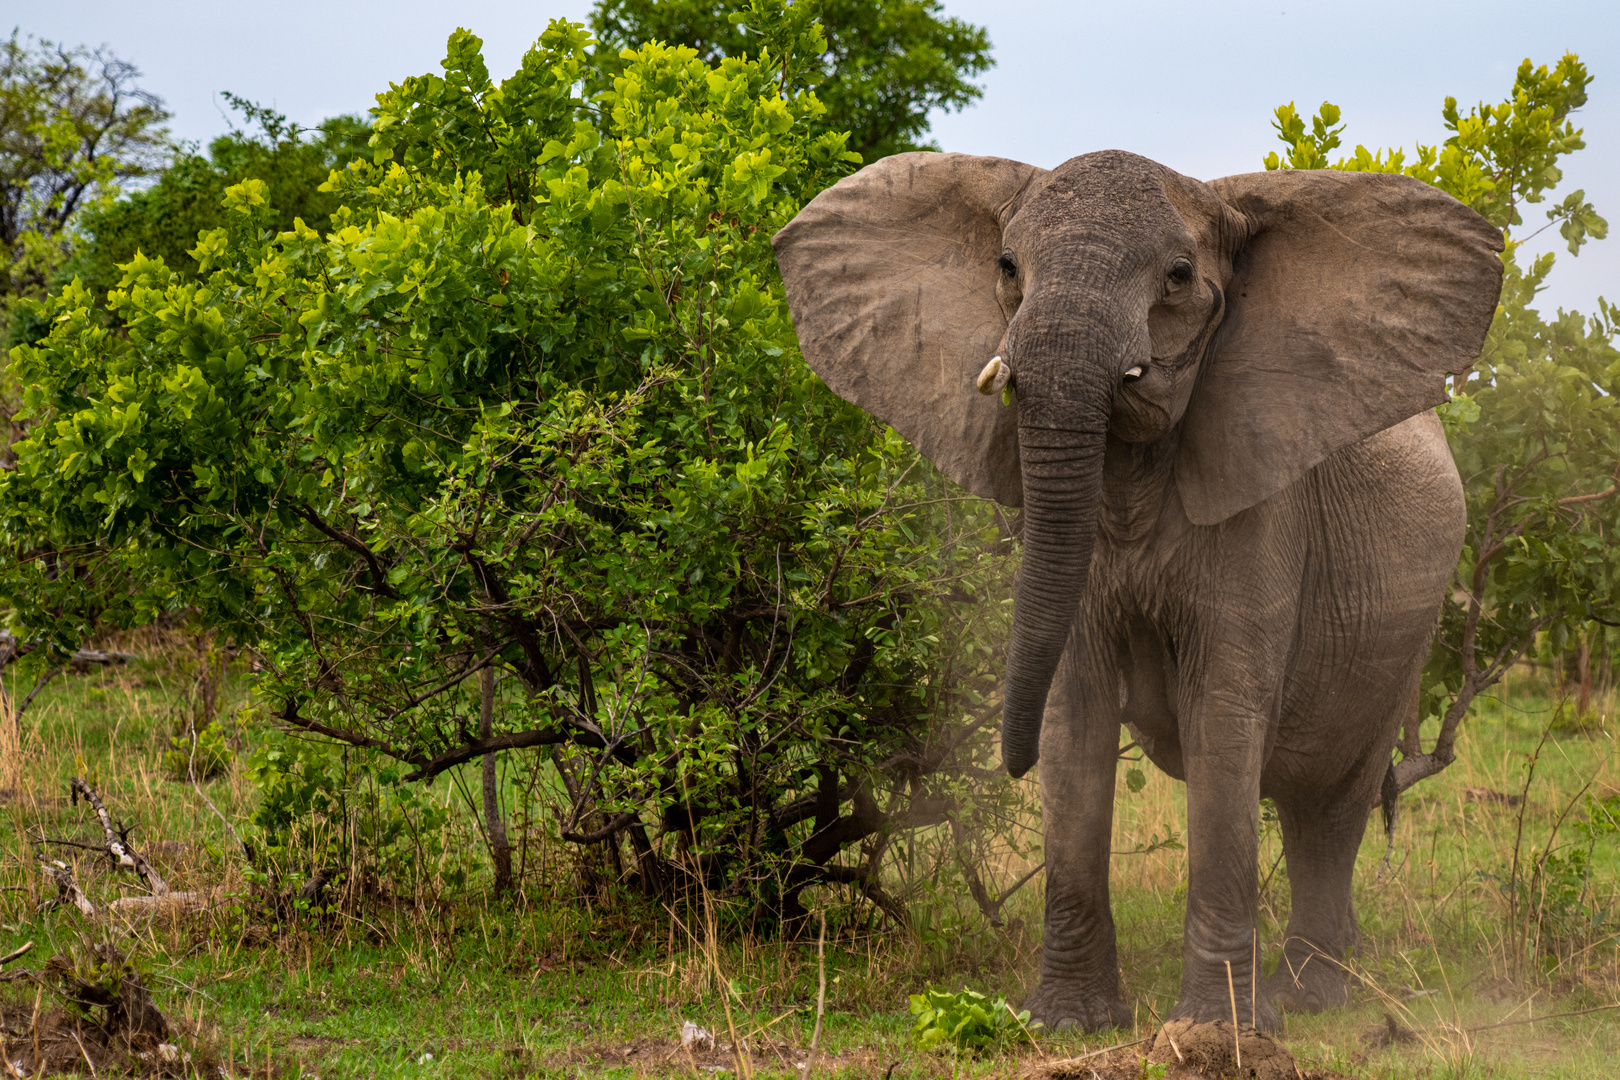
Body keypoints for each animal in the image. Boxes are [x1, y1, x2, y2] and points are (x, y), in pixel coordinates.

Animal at [771, 149, 1503, 1029]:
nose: (1003, 760)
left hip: (1403, 637)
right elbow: (1075, 708)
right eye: (1006, 267)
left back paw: (1311, 994)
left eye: (1179, 277)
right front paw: (1064, 1021)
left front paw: (1217, 1029)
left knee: (1329, 803)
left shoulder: (1263, 505)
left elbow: (1222, 713)